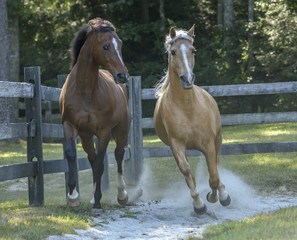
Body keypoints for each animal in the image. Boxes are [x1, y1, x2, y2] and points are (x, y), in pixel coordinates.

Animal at [59, 17, 130, 215]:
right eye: (105, 46)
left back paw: (122, 195)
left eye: (120, 44)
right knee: (91, 158)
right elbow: (72, 155)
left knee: (119, 155)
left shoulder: (104, 132)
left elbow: (100, 164)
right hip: (86, 136)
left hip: (121, 131)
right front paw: (73, 197)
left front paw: (97, 201)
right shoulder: (69, 126)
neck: (85, 91)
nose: (123, 75)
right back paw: (91, 197)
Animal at [154, 25, 230, 215]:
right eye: (173, 52)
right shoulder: (176, 145)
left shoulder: (209, 143)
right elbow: (186, 170)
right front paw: (199, 204)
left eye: (193, 50)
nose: (187, 79)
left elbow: (213, 176)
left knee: (216, 165)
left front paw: (214, 197)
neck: (187, 108)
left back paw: (224, 195)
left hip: (217, 140)